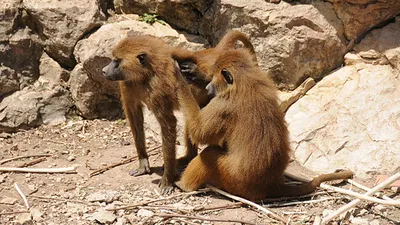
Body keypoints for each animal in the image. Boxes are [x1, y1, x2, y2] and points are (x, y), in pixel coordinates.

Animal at [100, 30, 256, 195]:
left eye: (117, 61)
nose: (104, 71)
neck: (145, 74)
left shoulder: (157, 89)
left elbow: (168, 123)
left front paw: (167, 180)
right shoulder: (127, 83)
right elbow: (135, 116)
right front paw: (143, 163)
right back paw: (188, 157)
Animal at [173, 48, 352, 200]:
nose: (209, 86)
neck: (245, 81)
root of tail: (270, 185)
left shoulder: (223, 104)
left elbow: (198, 132)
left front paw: (179, 80)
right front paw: (197, 74)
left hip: (231, 178)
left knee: (209, 155)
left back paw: (183, 185)